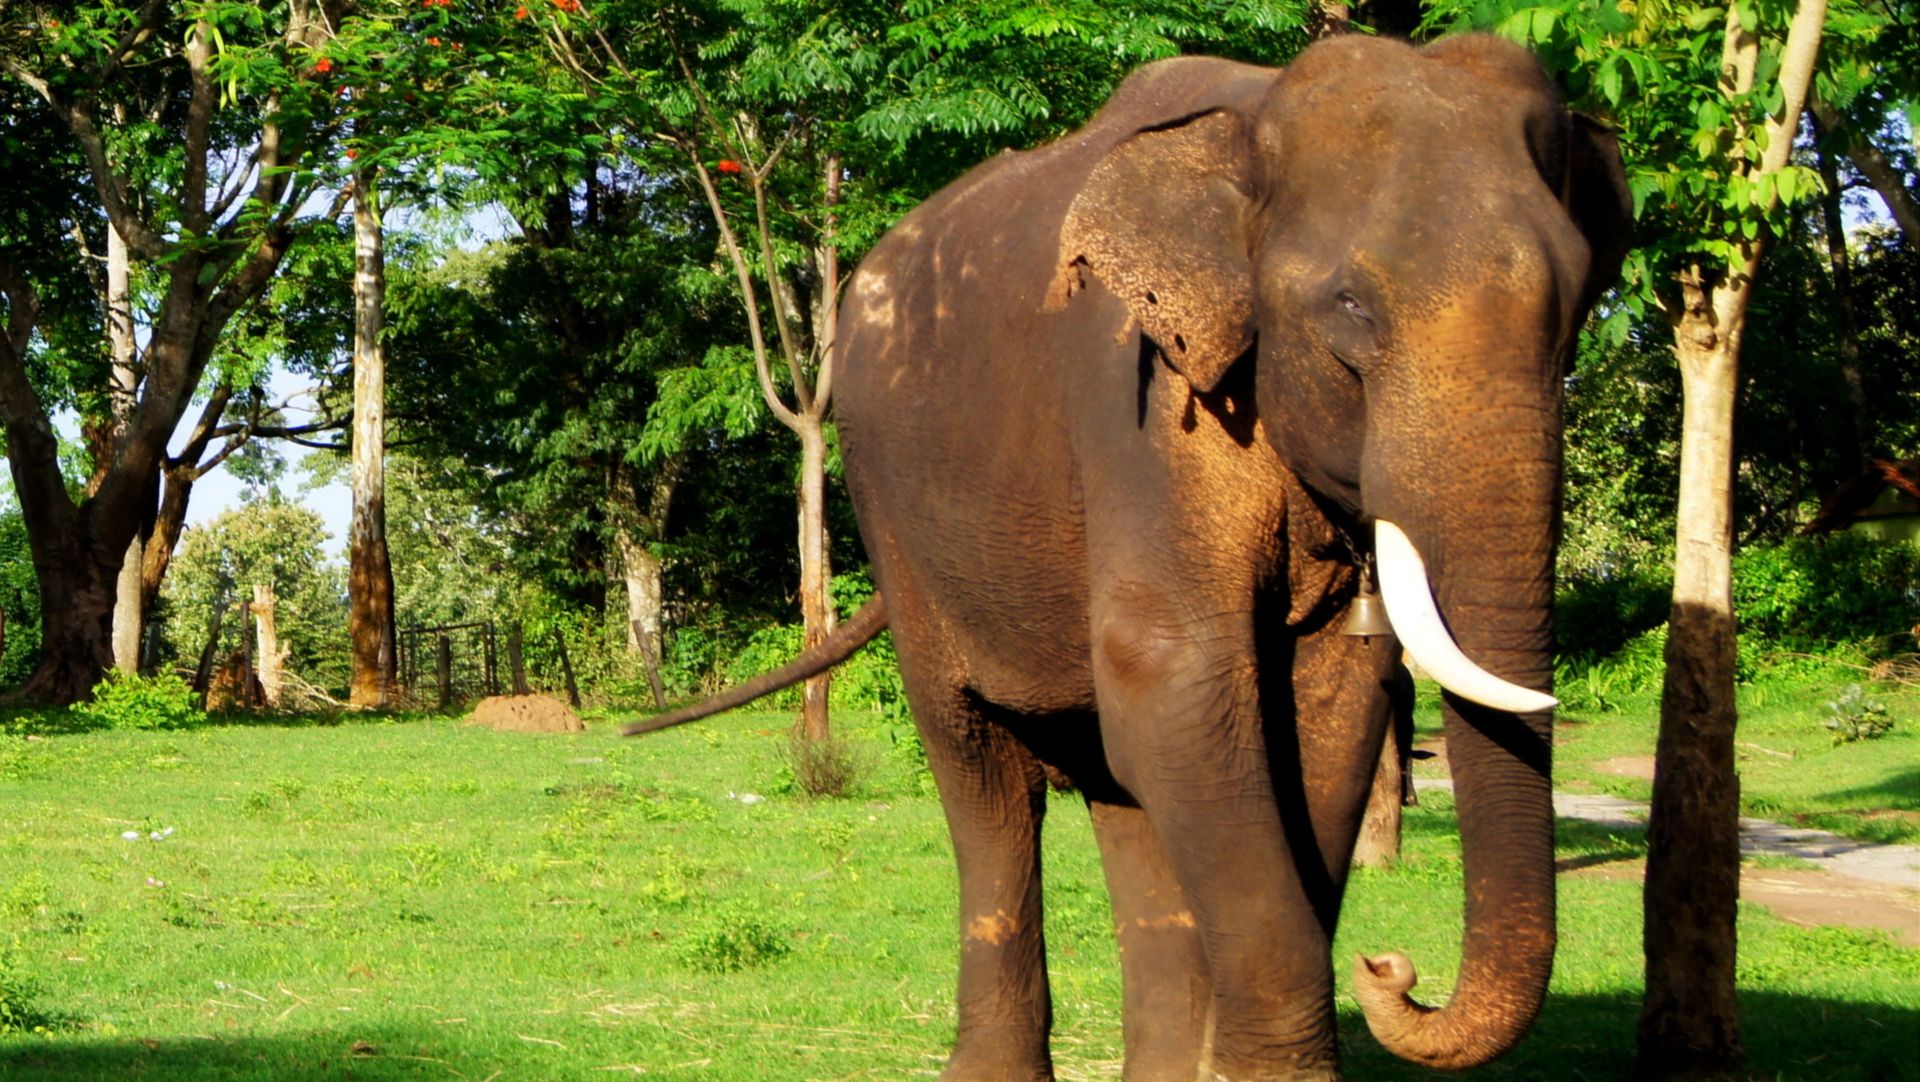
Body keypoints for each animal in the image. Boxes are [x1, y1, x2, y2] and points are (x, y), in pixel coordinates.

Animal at [630, 32, 1631, 1081]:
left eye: (1579, 304)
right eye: (1352, 307)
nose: (1390, 969)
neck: (1253, 121)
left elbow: (1328, 697)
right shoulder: (1132, 394)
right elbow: (1168, 672)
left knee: (1116, 784)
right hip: (897, 520)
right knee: (982, 773)